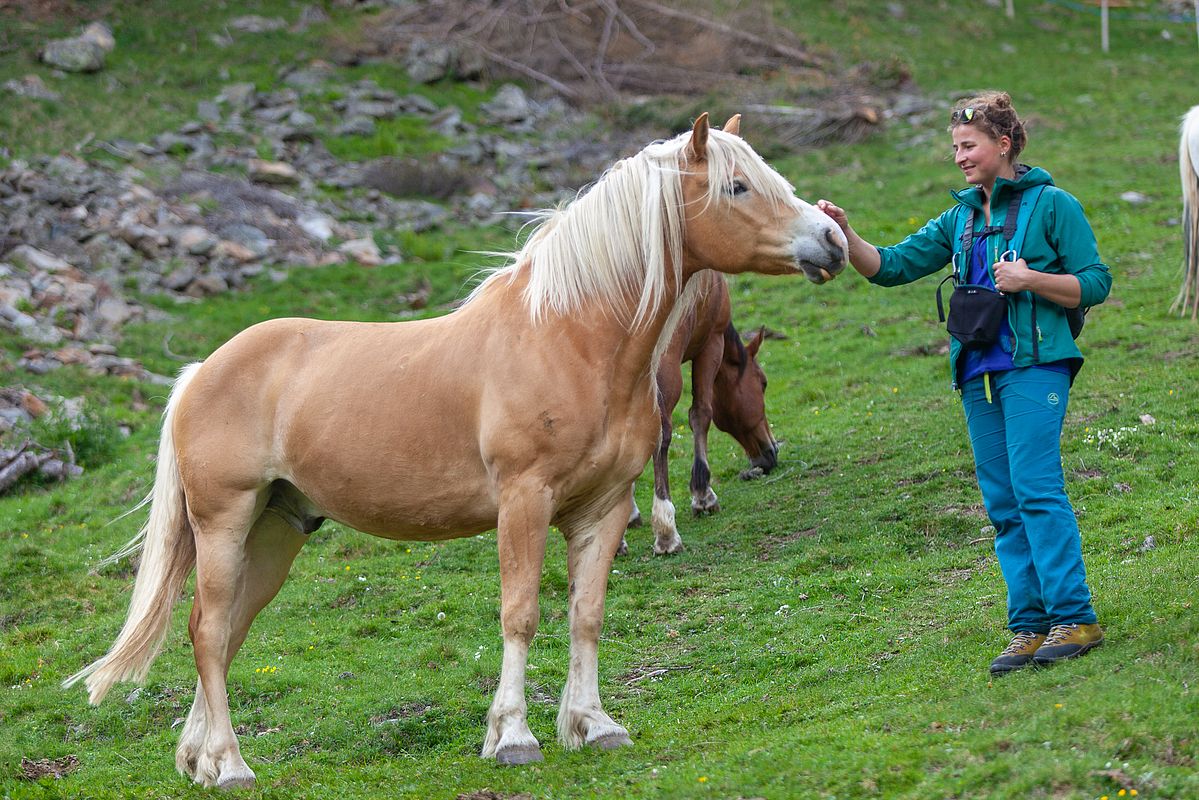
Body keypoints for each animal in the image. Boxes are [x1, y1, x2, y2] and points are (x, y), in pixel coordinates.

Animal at [618, 271, 776, 556]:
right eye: (763, 383)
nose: (771, 452)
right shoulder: (711, 344)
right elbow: (701, 414)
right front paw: (703, 494)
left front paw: (630, 514)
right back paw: (666, 532)